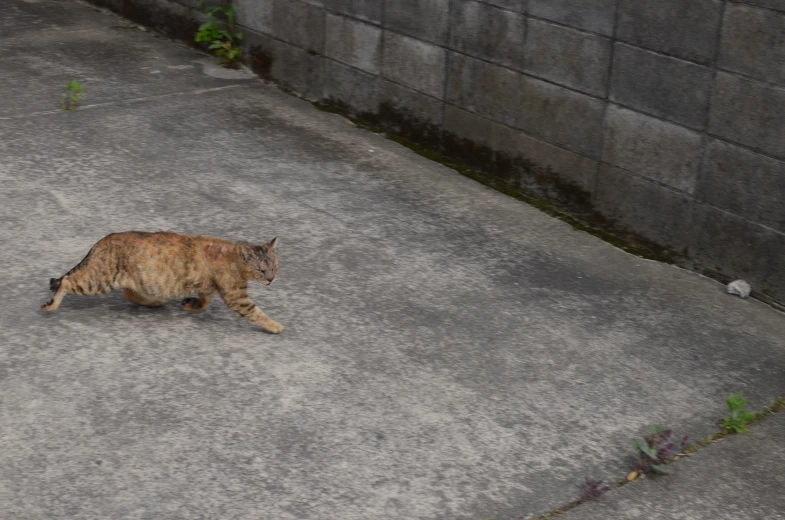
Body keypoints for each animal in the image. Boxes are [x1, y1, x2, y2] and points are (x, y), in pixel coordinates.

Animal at [41, 232, 284, 334]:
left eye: (274, 266)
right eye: (262, 270)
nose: (271, 279)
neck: (234, 256)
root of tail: (101, 242)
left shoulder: (209, 286)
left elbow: (205, 299)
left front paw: (192, 304)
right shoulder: (236, 296)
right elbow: (255, 311)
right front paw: (274, 325)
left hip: (140, 280)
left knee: (128, 293)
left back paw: (155, 303)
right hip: (100, 279)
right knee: (66, 281)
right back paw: (52, 305)